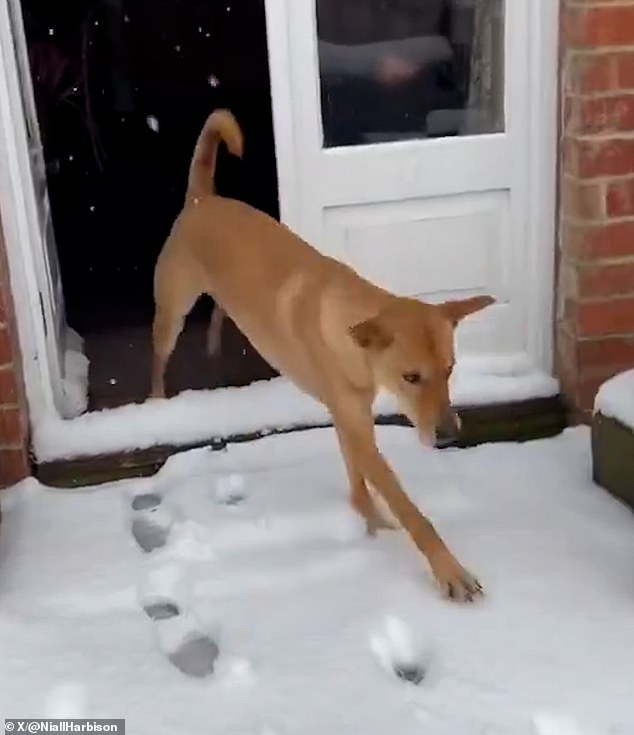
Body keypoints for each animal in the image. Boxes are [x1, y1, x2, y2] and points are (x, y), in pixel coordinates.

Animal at [151, 110, 492, 604]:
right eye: (411, 378)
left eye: (450, 371)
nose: (449, 437)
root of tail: (203, 198)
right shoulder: (354, 422)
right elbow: (410, 509)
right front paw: (448, 569)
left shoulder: (352, 416)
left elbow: (358, 481)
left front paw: (369, 522)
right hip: (172, 311)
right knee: (158, 357)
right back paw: (156, 402)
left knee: (218, 311)